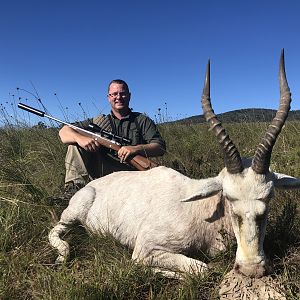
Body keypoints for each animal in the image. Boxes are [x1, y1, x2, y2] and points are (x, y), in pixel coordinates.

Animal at [49, 51, 300, 278]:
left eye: (269, 197)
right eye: (228, 197)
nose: (252, 269)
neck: (200, 210)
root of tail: (92, 185)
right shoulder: (145, 249)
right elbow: (201, 269)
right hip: (72, 214)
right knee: (56, 230)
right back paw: (62, 255)